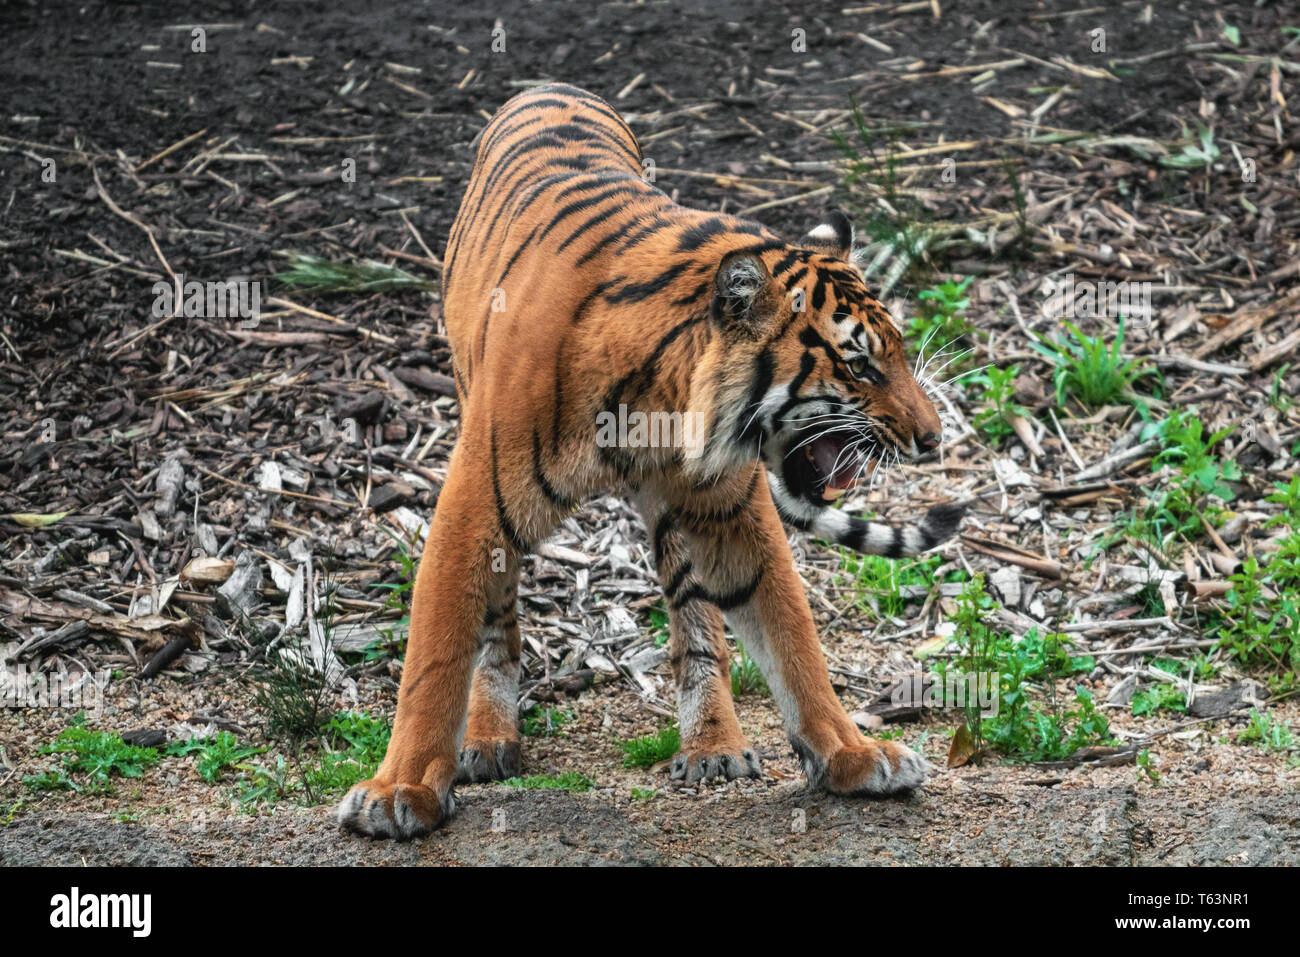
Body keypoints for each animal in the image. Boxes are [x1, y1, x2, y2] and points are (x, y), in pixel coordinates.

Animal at [338, 82, 967, 837]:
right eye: (859, 365)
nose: (933, 437)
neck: (663, 400)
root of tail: (548, 85)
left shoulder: (732, 511)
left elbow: (792, 635)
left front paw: (851, 753)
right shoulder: (473, 507)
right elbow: (433, 656)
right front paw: (398, 790)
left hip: (680, 518)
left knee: (696, 624)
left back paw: (712, 745)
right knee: (499, 622)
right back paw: (489, 736)